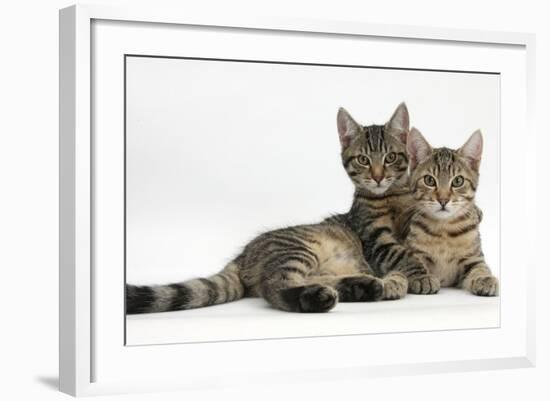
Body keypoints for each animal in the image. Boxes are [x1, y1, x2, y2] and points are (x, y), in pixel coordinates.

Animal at [126, 103, 410, 312]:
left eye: (390, 158)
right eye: (363, 160)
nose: (378, 177)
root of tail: (241, 257)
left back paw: (363, 287)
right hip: (297, 250)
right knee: (274, 285)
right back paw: (321, 297)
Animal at [398, 126, 502, 296]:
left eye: (458, 181)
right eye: (429, 180)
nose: (443, 200)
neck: (444, 231)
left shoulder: (473, 258)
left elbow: (480, 268)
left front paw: (484, 278)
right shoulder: (414, 252)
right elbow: (412, 262)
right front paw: (422, 277)